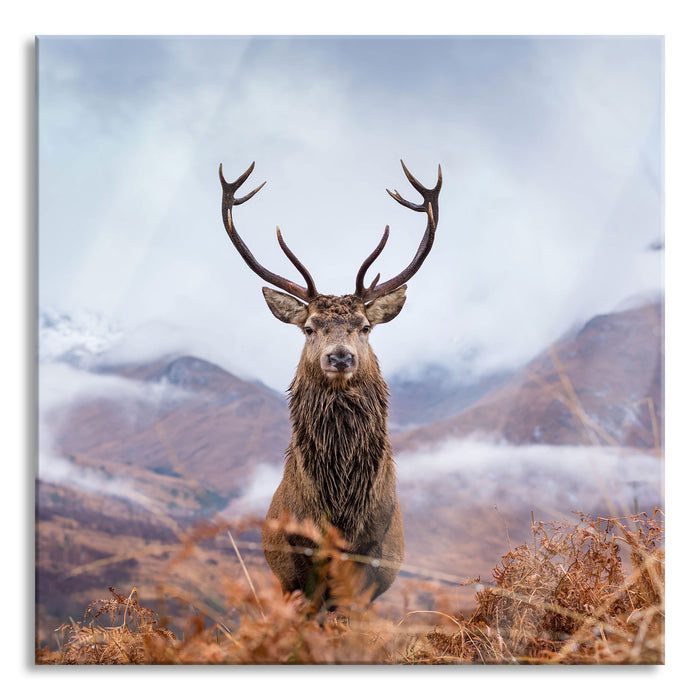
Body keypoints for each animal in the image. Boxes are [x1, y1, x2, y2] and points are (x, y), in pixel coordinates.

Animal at [219, 160, 441, 609]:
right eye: (308, 327)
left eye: (366, 326)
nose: (340, 357)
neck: (339, 511)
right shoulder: (297, 564)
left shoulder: (369, 563)